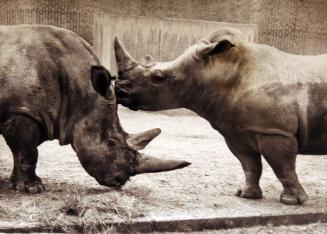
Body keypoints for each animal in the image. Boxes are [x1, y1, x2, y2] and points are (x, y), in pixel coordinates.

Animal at [0, 25, 191, 194]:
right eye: (111, 143)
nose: (120, 180)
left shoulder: (36, 114)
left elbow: (23, 151)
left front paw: (16, 183)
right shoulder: (22, 110)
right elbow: (28, 151)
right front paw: (33, 189)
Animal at [114, 27, 327, 204]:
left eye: (157, 78)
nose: (118, 89)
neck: (216, 72)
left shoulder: (274, 130)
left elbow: (282, 166)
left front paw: (292, 201)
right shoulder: (236, 131)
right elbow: (249, 165)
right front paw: (246, 195)